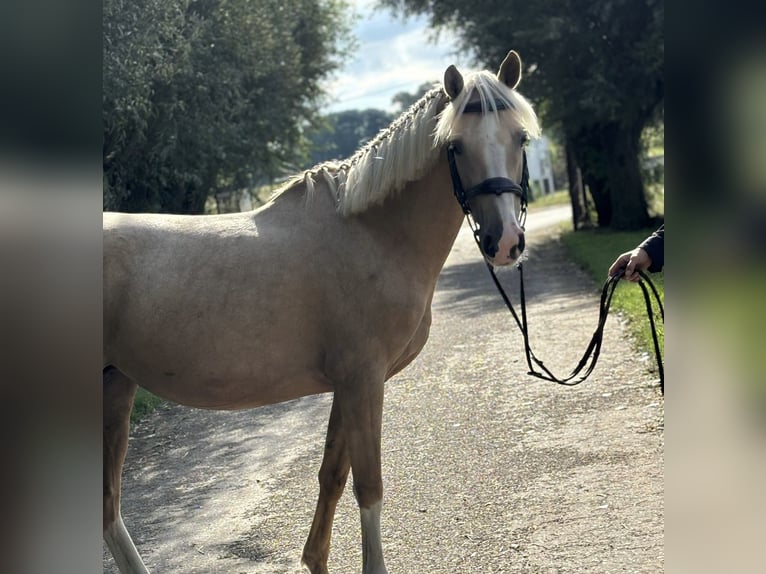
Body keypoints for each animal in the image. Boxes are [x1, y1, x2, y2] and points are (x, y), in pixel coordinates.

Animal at [105, 51, 544, 572]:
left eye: (520, 139)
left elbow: (332, 477)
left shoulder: (347, 385)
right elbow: (369, 487)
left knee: (108, 510)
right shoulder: (364, 380)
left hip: (115, 387)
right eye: (455, 145)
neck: (372, 234)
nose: (506, 242)